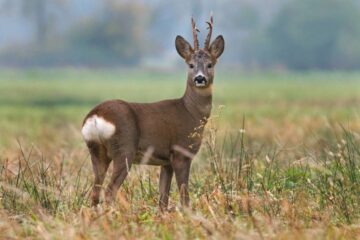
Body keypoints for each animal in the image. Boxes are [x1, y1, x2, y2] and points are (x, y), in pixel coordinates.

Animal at [82, 15, 225, 209]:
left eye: (210, 64)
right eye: (191, 65)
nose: (200, 78)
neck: (191, 112)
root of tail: (96, 116)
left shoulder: (166, 162)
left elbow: (163, 199)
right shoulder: (181, 152)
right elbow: (184, 196)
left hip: (97, 151)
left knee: (95, 192)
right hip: (124, 149)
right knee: (110, 191)